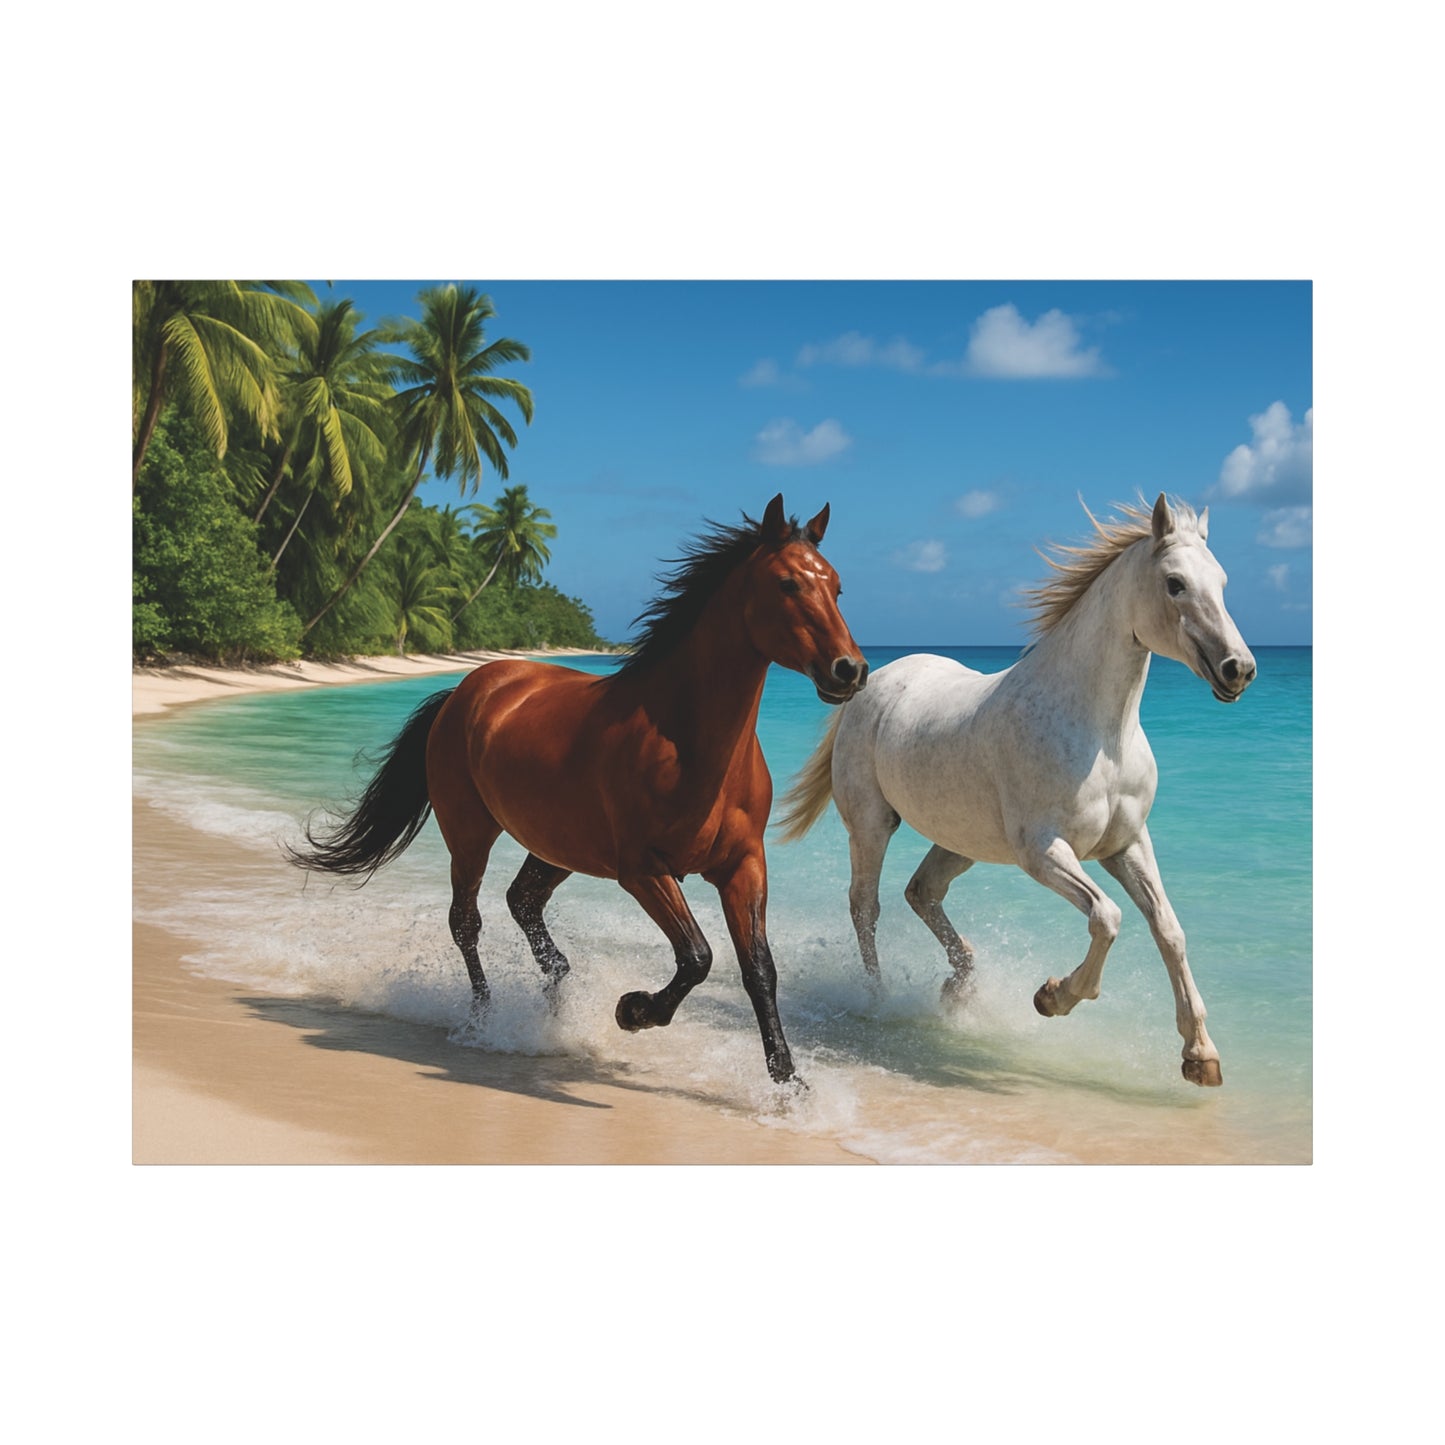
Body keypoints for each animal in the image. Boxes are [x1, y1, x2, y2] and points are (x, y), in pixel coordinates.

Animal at [289, 494, 866, 1085]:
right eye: (787, 583)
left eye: (837, 586)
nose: (850, 670)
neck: (685, 742)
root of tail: (467, 688)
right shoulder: (642, 870)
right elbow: (697, 956)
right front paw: (633, 1011)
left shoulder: (743, 865)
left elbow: (759, 969)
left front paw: (789, 1082)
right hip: (470, 833)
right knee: (466, 922)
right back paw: (483, 1020)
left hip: (558, 847)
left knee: (522, 902)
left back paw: (556, 994)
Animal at [777, 494, 1255, 1087]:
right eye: (1175, 583)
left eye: (1222, 581)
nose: (1239, 670)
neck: (1100, 734)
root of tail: (871, 679)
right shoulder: (1043, 852)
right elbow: (1108, 917)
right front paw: (1053, 996)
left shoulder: (1127, 845)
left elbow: (1169, 929)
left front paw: (1200, 1054)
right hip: (871, 825)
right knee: (866, 906)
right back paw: (878, 999)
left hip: (962, 841)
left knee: (922, 892)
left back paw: (959, 986)